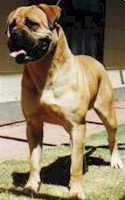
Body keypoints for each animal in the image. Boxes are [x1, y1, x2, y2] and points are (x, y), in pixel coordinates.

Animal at [5, 3, 123, 199]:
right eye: (11, 25)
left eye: (31, 23)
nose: (14, 34)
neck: (44, 71)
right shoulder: (33, 125)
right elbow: (34, 160)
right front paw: (31, 186)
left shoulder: (76, 124)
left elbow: (74, 167)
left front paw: (75, 191)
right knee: (78, 149)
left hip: (107, 114)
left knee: (111, 138)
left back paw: (115, 161)